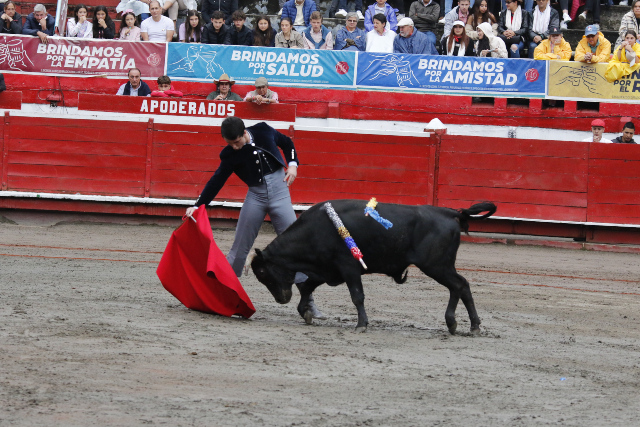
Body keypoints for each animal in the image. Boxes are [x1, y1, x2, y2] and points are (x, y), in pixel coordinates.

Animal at [252, 201, 498, 334]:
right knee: (461, 286)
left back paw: (459, 323)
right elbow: (307, 287)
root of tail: (451, 212)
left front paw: (361, 324)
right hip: (442, 266)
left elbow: (357, 296)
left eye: (263, 272)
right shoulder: (327, 269)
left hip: (437, 266)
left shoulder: (348, 268)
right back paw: (467, 325)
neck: (314, 230)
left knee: (459, 285)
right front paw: (305, 312)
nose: (281, 299)